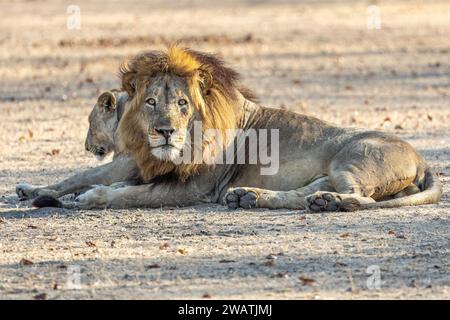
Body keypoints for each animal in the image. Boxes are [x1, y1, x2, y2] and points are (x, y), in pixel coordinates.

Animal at [37, 46, 442, 211]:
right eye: (150, 102)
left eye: (182, 104)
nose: (165, 131)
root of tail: (422, 158)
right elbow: (122, 186)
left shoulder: (193, 189)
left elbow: (128, 195)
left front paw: (92, 197)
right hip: (332, 171)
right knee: (309, 192)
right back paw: (252, 197)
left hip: (351, 160)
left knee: (361, 198)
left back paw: (328, 204)